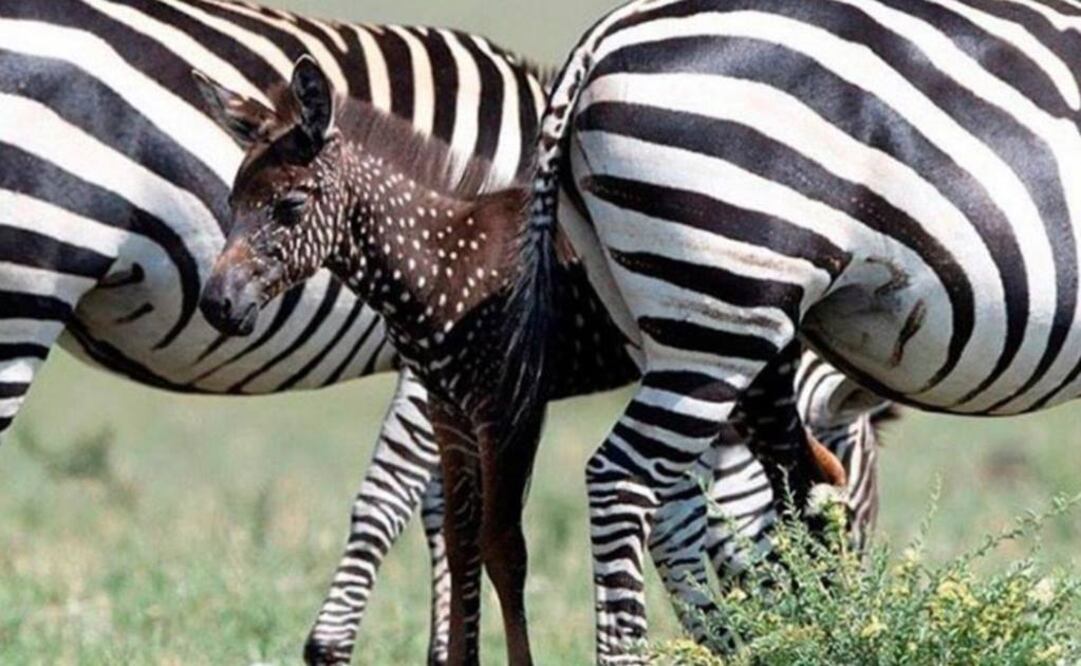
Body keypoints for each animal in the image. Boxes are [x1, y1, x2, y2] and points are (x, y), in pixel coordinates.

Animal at [0, 1, 889, 663]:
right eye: (862, 508)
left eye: (283, 207)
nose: (843, 614)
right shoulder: (450, 384)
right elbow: (436, 517)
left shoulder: (471, 387)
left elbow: (456, 522)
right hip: (26, 287)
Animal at [505, 0, 1081, 660]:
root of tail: (603, 37)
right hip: (726, 298)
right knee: (623, 480)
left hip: (658, 314)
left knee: (676, 500)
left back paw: (729, 645)